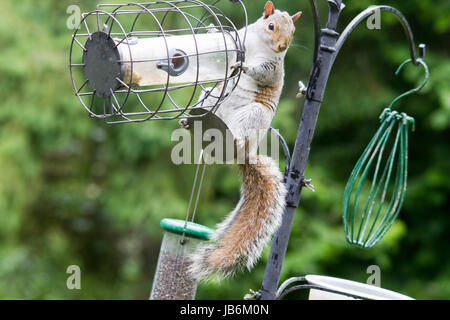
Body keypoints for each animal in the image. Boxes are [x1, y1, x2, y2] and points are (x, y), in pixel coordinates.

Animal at [186, 1, 302, 280]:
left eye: (293, 32)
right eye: (271, 26)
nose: (283, 46)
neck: (260, 45)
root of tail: (244, 154)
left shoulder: (273, 68)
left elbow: (263, 73)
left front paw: (245, 68)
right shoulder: (240, 39)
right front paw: (211, 29)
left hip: (253, 115)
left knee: (240, 135)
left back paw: (236, 139)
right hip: (211, 97)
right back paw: (185, 122)